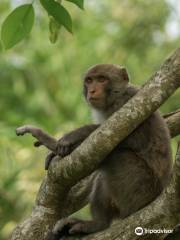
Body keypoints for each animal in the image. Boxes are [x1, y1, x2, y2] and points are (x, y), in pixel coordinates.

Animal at [16, 63, 172, 238]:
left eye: (102, 79)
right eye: (89, 81)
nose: (92, 91)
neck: (115, 98)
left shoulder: (130, 104)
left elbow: (130, 138)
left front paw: (66, 138)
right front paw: (56, 149)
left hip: (141, 189)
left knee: (115, 154)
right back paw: (97, 224)